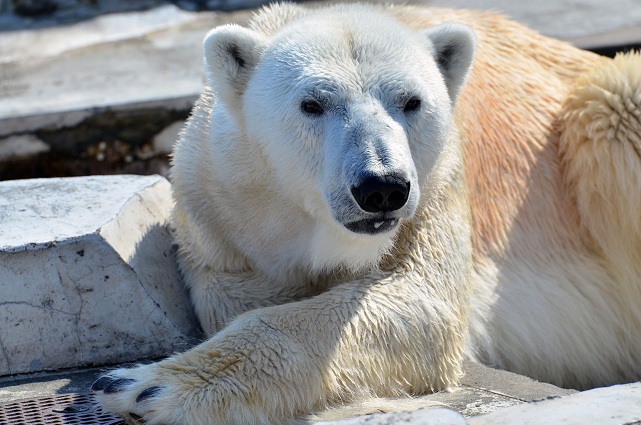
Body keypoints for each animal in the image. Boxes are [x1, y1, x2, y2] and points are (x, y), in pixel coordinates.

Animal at [92, 3, 640, 424]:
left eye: (412, 101)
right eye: (312, 103)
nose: (381, 188)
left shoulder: (438, 187)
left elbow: (422, 304)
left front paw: (145, 387)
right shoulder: (213, 203)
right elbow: (228, 289)